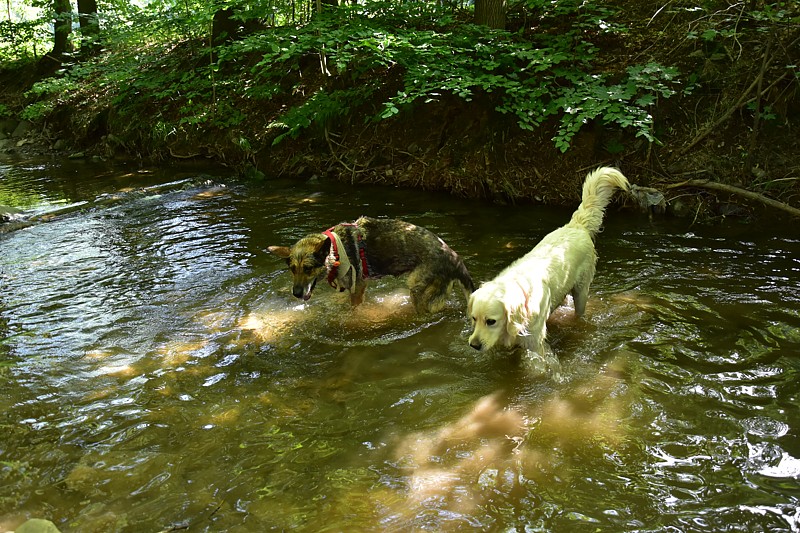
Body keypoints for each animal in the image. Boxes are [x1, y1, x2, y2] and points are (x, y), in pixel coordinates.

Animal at [268, 215, 476, 312]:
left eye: (308, 269)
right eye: (292, 269)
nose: (296, 294)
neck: (336, 250)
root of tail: (454, 257)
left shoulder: (357, 288)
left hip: (417, 289)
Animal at [468, 166, 632, 358]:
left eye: (491, 321)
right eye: (474, 318)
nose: (473, 345)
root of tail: (576, 226)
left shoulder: (534, 343)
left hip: (581, 291)